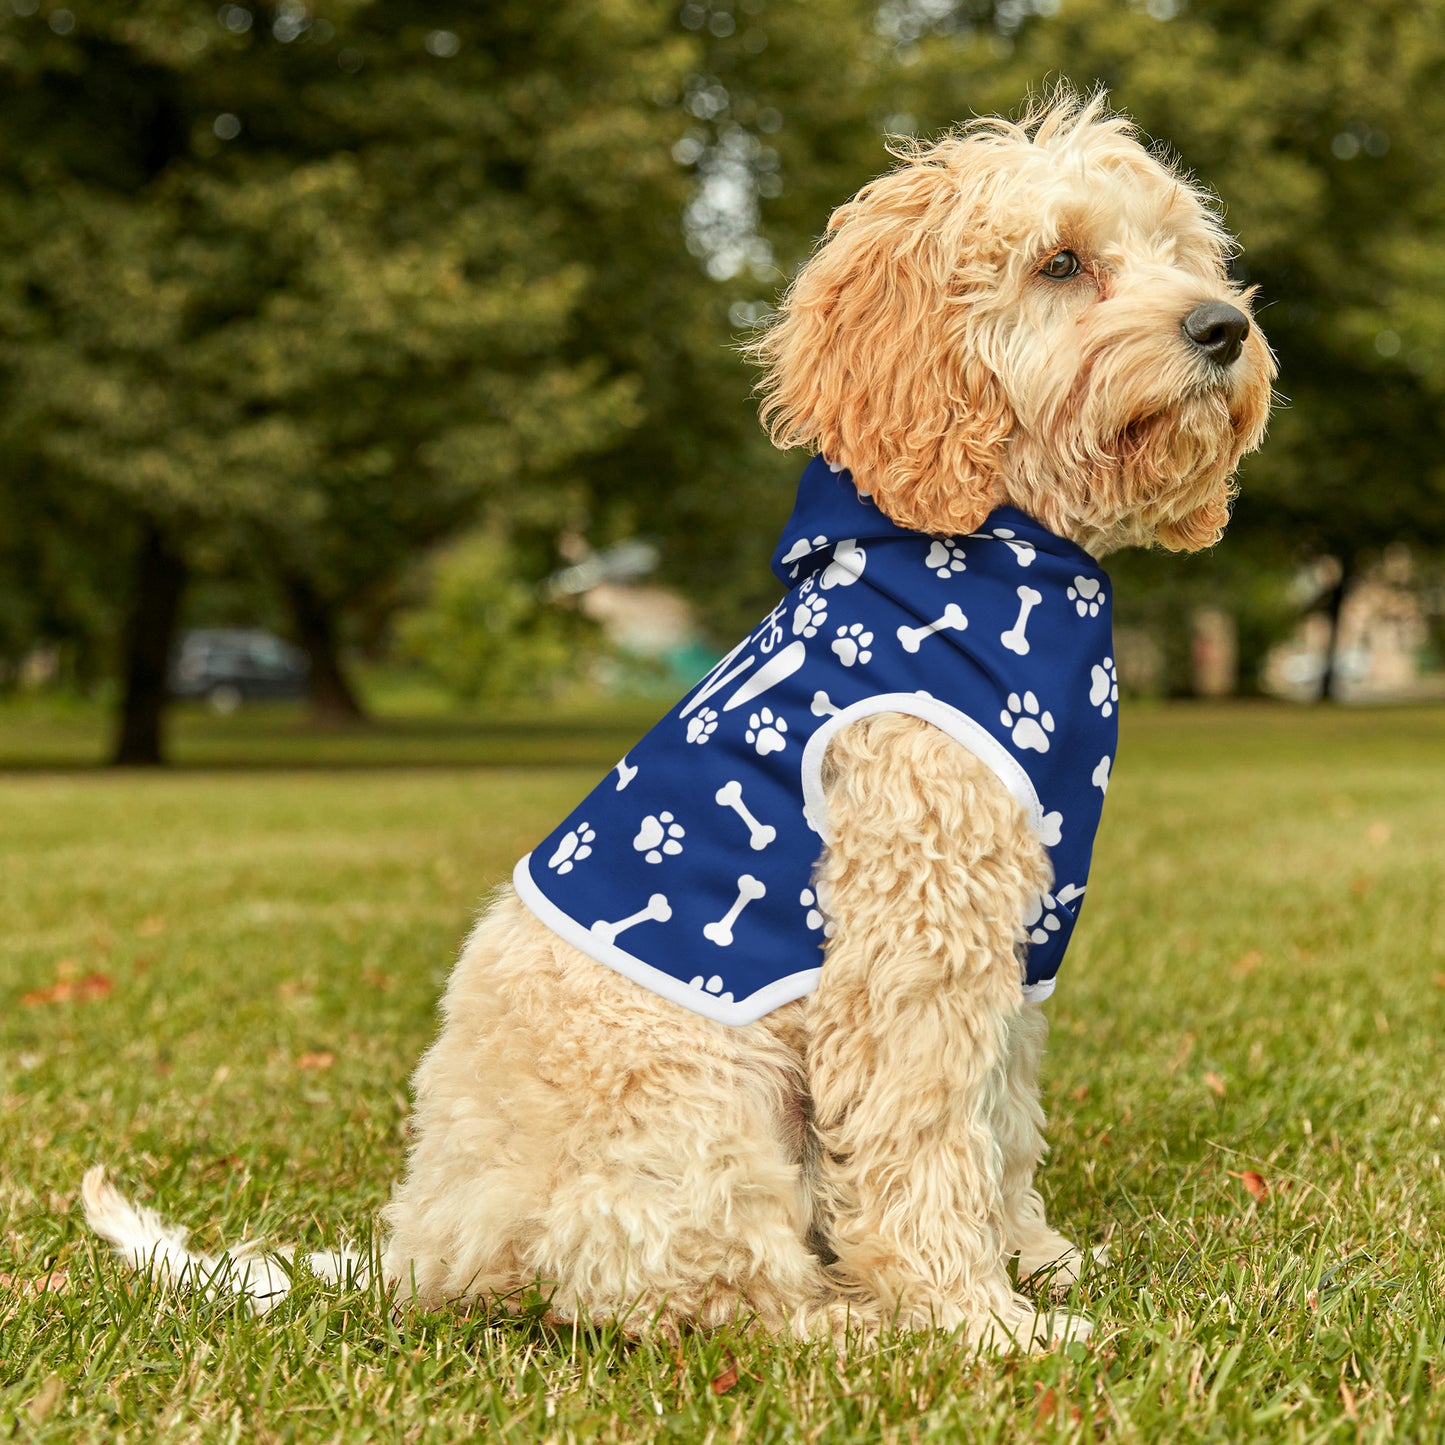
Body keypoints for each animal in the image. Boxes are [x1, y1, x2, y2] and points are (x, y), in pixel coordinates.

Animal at [84, 96, 1271, 1346]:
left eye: (1180, 252)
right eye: (1060, 262)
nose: (1222, 326)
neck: (993, 550)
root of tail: (423, 1248)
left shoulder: (1016, 939)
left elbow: (999, 1120)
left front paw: (1034, 1259)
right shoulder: (913, 938)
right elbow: (924, 1139)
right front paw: (977, 1319)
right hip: (704, 1103)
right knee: (701, 1287)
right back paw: (849, 1319)